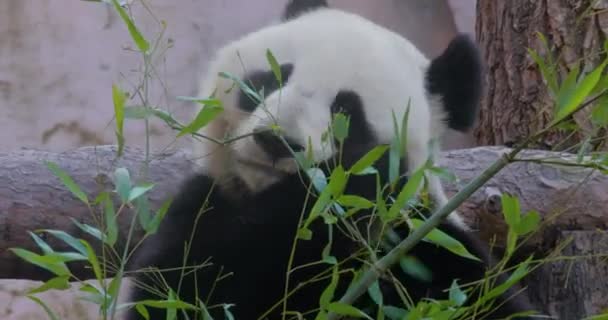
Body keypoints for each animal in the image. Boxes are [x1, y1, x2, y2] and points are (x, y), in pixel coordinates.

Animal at [124, 1, 536, 318]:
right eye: (273, 77)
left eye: (346, 110)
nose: (277, 140)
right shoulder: (204, 210)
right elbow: (188, 289)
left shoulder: (426, 254)